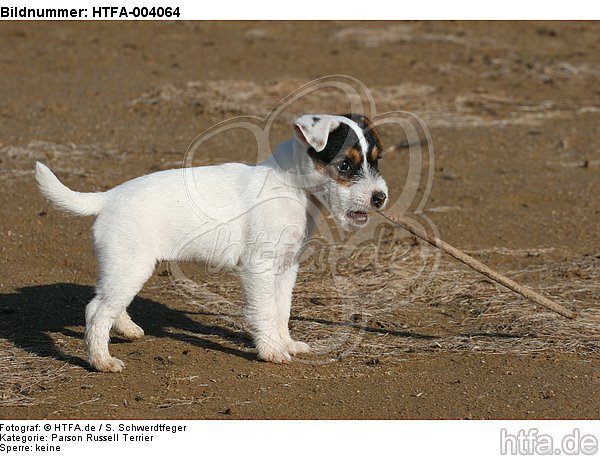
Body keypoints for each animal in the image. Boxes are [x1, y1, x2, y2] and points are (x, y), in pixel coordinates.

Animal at [35, 113, 390, 370]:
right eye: (344, 164)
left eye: (375, 160)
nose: (380, 197)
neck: (290, 187)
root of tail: (107, 198)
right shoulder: (259, 268)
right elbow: (264, 312)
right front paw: (272, 351)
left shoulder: (286, 268)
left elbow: (281, 311)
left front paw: (286, 343)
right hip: (131, 267)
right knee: (96, 310)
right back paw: (101, 361)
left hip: (122, 268)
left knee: (107, 302)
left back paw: (126, 330)